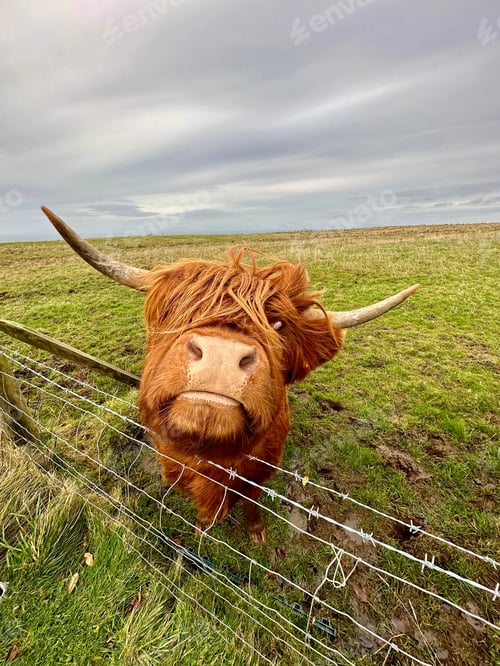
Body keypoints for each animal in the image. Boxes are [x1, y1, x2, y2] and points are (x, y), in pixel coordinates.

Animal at [41, 206, 419, 543]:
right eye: (177, 309)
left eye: (278, 326)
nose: (221, 355)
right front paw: (202, 528)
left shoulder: (261, 470)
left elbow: (251, 501)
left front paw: (256, 533)